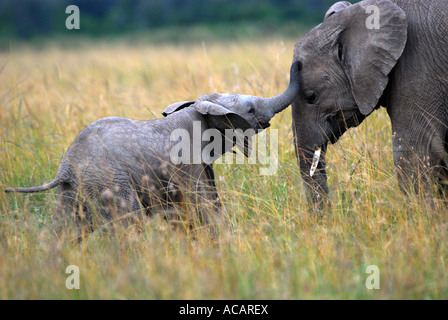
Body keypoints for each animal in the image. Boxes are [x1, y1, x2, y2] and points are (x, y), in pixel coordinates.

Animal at [5, 62, 300, 238]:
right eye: (249, 110)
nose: (297, 64)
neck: (196, 111)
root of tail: (65, 168)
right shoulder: (187, 162)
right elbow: (202, 203)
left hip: (72, 192)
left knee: (65, 232)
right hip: (109, 182)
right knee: (130, 225)